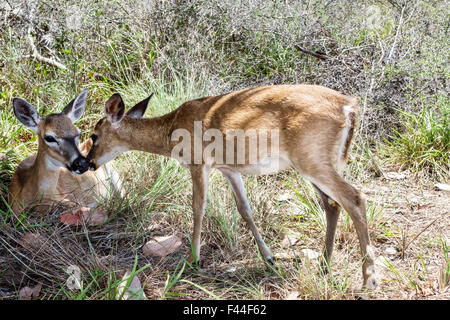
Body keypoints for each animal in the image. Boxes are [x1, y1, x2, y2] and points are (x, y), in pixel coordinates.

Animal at [86, 85, 378, 290]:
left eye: (94, 135)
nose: (86, 163)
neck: (170, 131)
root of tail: (349, 107)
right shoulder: (229, 170)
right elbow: (244, 210)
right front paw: (269, 258)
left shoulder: (199, 162)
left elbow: (198, 207)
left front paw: (193, 259)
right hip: (322, 163)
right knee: (332, 205)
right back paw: (324, 266)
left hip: (312, 160)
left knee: (355, 198)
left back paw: (368, 280)